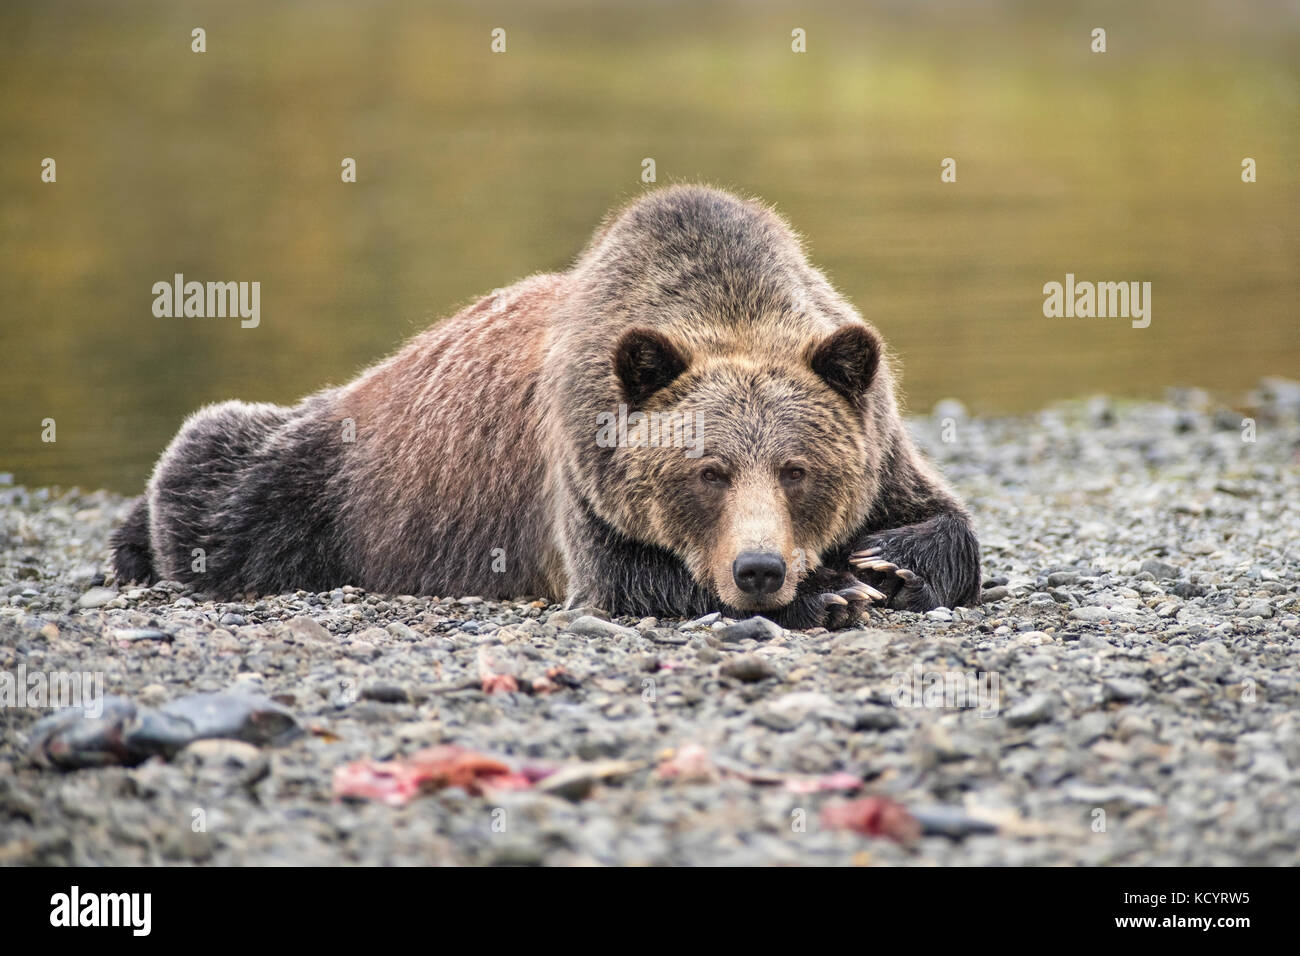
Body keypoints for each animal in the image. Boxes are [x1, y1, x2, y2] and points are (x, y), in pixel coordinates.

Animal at [114, 184, 977, 629]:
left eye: (797, 470)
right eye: (709, 471)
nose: (760, 568)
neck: (727, 306)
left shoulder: (878, 432)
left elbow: (948, 521)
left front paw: (884, 559)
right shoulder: (580, 464)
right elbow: (629, 576)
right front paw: (833, 588)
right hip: (332, 480)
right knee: (219, 472)